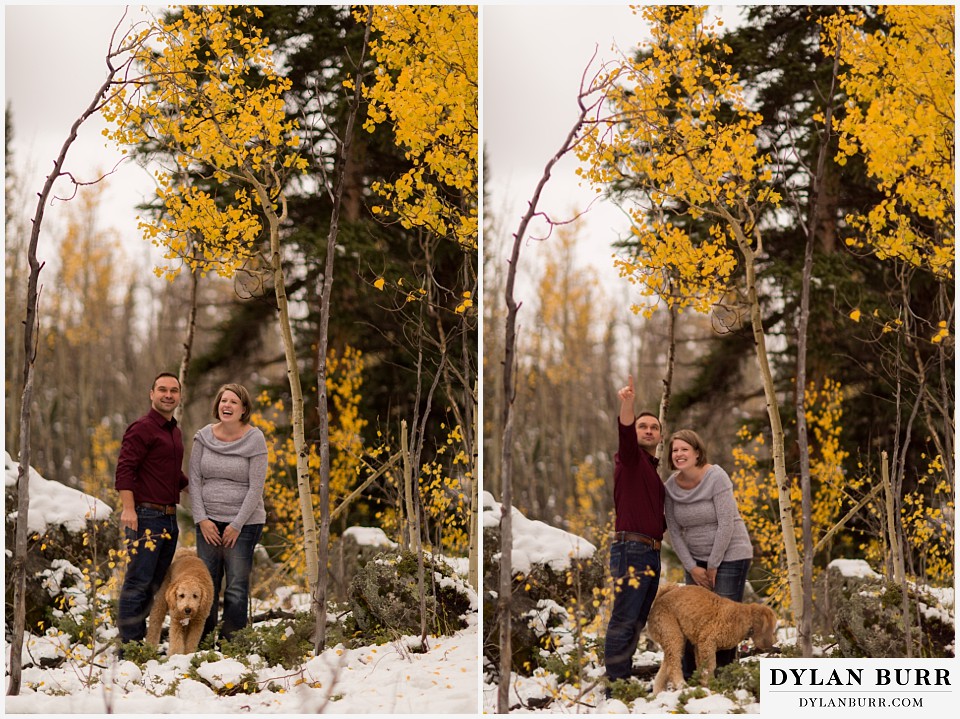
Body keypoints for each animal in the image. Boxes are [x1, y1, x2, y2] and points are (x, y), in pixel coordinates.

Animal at [644, 584, 780, 696]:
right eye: (771, 628)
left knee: (666, 667)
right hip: (672, 633)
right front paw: (712, 686)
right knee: (673, 666)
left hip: (673, 638)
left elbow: (702, 667)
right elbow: (710, 667)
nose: (774, 643)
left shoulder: (699, 645)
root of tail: (658, 600)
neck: (744, 619)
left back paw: (658, 695)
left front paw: (705, 685)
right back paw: (682, 685)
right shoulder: (707, 642)